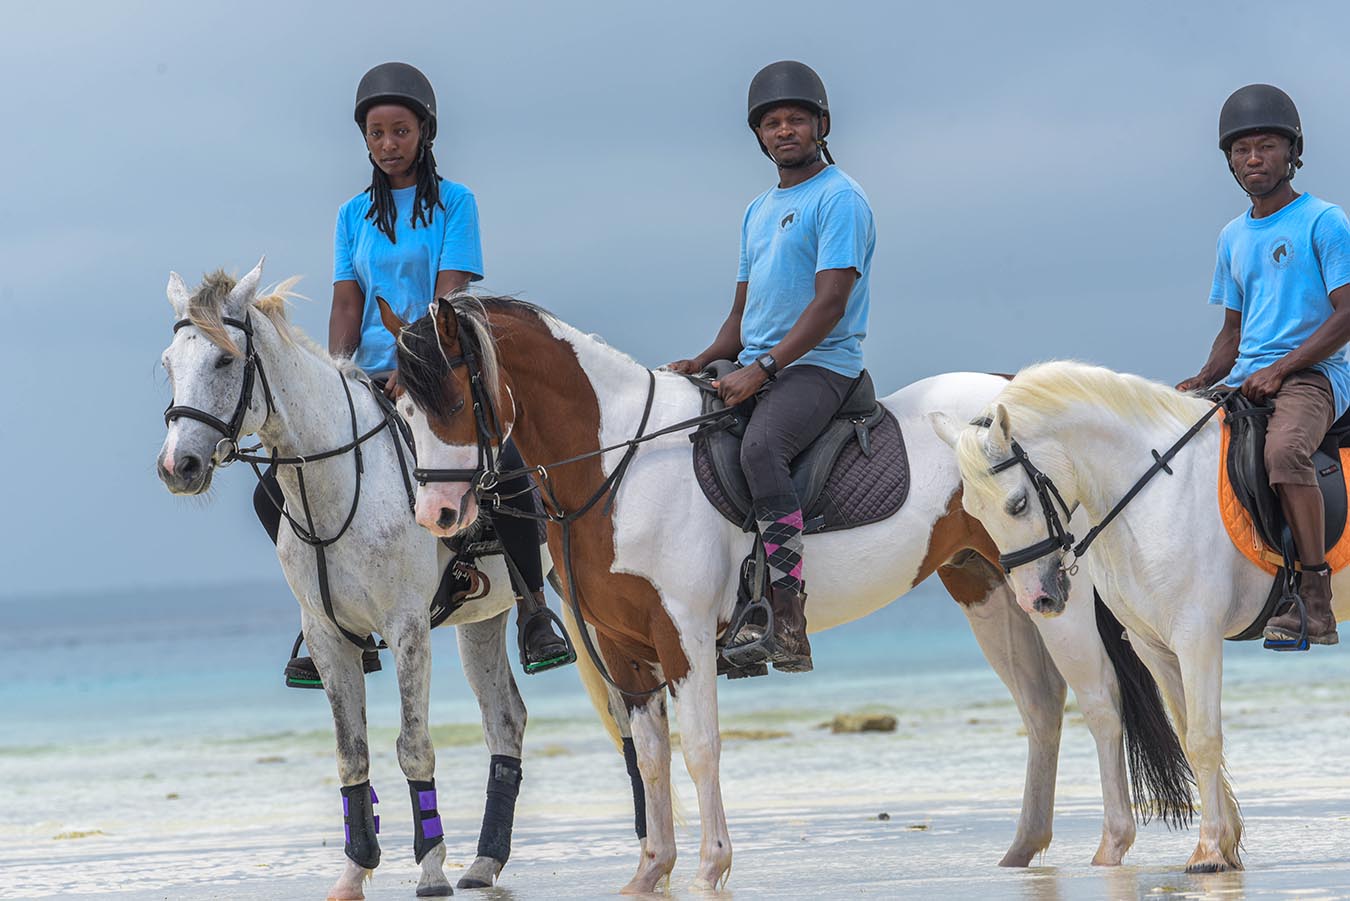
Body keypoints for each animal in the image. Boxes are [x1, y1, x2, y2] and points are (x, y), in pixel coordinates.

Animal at [154, 261, 634, 898]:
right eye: (168, 363)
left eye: (225, 362)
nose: (176, 466)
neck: (338, 482)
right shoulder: (328, 637)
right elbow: (351, 755)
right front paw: (355, 870)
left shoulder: (407, 627)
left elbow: (413, 746)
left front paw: (429, 867)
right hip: (481, 619)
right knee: (506, 721)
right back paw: (485, 862)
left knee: (625, 708)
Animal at [381, 293, 1193, 893]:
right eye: (403, 407)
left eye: (454, 399)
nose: (438, 515)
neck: (620, 466)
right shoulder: (625, 652)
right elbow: (651, 758)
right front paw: (650, 872)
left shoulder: (682, 638)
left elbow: (700, 749)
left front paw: (710, 867)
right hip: (993, 587)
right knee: (1042, 708)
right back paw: (1021, 854)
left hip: (1056, 592)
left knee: (1099, 700)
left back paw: (1111, 848)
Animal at [932, 359, 1350, 873]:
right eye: (972, 512)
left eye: (1018, 503)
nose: (1037, 600)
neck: (1154, 489)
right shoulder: (1154, 644)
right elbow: (1189, 733)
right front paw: (1225, 843)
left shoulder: (1196, 637)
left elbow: (1204, 738)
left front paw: (1209, 851)